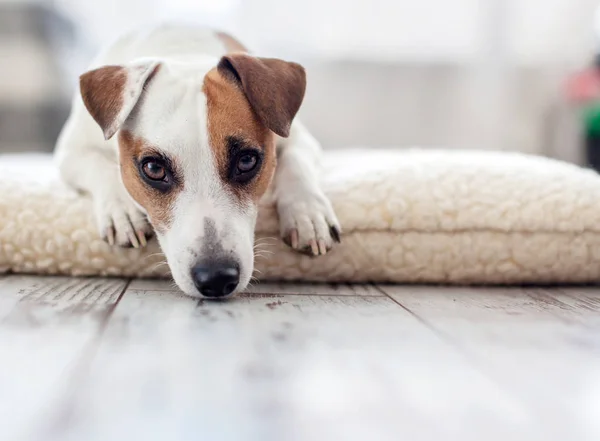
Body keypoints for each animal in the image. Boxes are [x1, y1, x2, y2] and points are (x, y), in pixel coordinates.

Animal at [54, 24, 340, 300]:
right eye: (154, 169)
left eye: (247, 161)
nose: (217, 278)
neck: (183, 52)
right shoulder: (71, 152)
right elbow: (101, 168)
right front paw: (123, 212)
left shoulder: (299, 138)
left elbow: (296, 161)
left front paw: (308, 214)